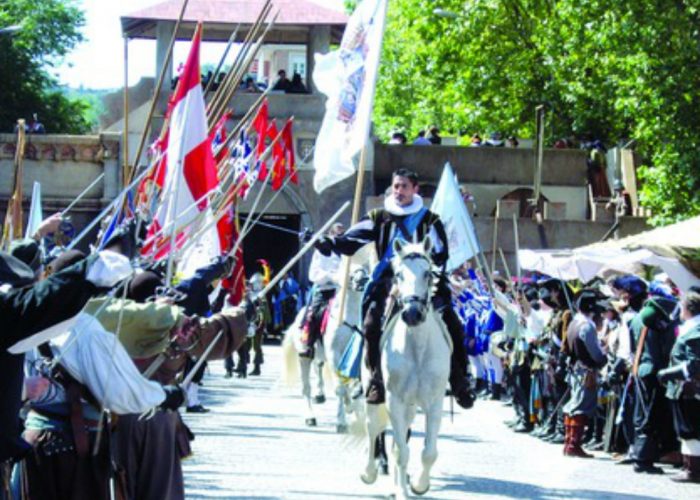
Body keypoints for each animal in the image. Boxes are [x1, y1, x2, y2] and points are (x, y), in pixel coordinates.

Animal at [360, 237, 454, 496]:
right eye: (399, 275)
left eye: (428, 274)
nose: (412, 314)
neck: (418, 349)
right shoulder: (395, 400)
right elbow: (401, 451)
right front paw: (403, 491)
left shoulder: (434, 402)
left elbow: (428, 452)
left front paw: (419, 485)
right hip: (375, 390)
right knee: (373, 427)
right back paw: (370, 473)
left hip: (411, 406)